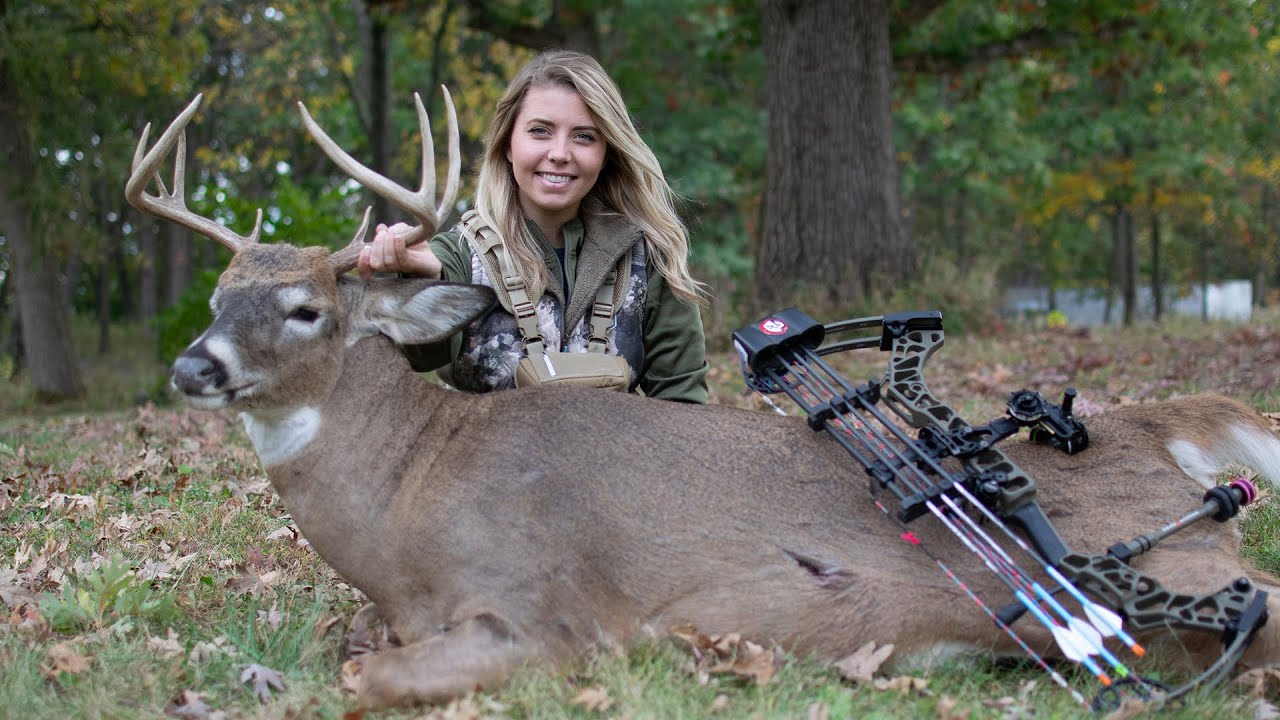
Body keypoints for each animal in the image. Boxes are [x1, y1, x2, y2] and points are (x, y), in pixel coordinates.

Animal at [125, 90, 1280, 710]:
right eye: (218, 296)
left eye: (306, 307)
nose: (193, 367)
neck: (407, 504)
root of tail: (1151, 426)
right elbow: (347, 651)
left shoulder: (546, 613)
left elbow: (358, 680)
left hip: (1169, 570)